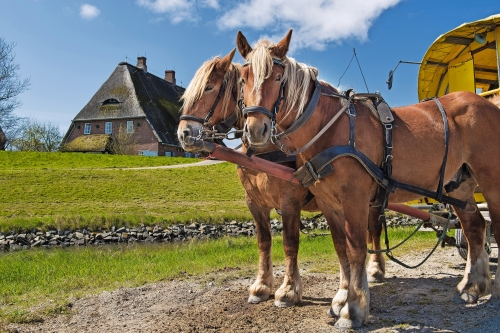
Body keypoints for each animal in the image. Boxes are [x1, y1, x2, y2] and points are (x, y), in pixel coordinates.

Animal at [176, 49, 386, 308]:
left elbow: (290, 242)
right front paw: (262, 285)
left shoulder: (290, 202)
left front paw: (288, 289)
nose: (184, 134)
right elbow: (264, 241)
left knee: (374, 230)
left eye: (209, 87)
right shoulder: (254, 203)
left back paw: (375, 269)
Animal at [236, 29, 498, 328]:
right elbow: (341, 250)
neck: (332, 128)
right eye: (242, 79)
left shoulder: (354, 200)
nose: (256, 130)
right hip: (458, 187)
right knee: (475, 227)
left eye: (278, 78)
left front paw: (354, 307)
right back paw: (473, 286)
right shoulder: (329, 203)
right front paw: (341, 299)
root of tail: (487, 104)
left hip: (492, 180)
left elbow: (356, 249)